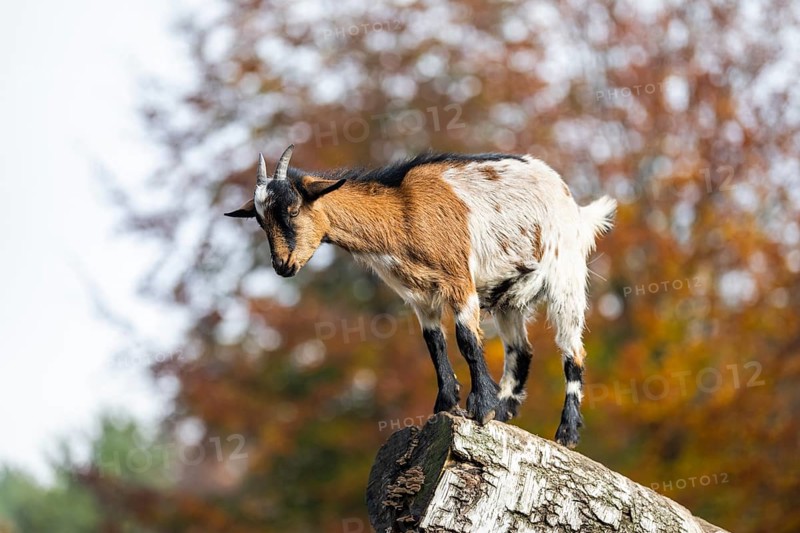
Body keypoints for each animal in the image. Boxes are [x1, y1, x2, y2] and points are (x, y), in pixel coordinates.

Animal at [225, 145, 616, 448]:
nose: (283, 265)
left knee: (572, 351)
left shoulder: (459, 280)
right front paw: (447, 404)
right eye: (259, 221)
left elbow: (467, 340)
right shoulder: (419, 296)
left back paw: (566, 433)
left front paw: (481, 408)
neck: (405, 213)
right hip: (508, 296)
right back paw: (506, 411)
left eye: (292, 210)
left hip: (565, 278)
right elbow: (434, 343)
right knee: (521, 350)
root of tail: (576, 209)